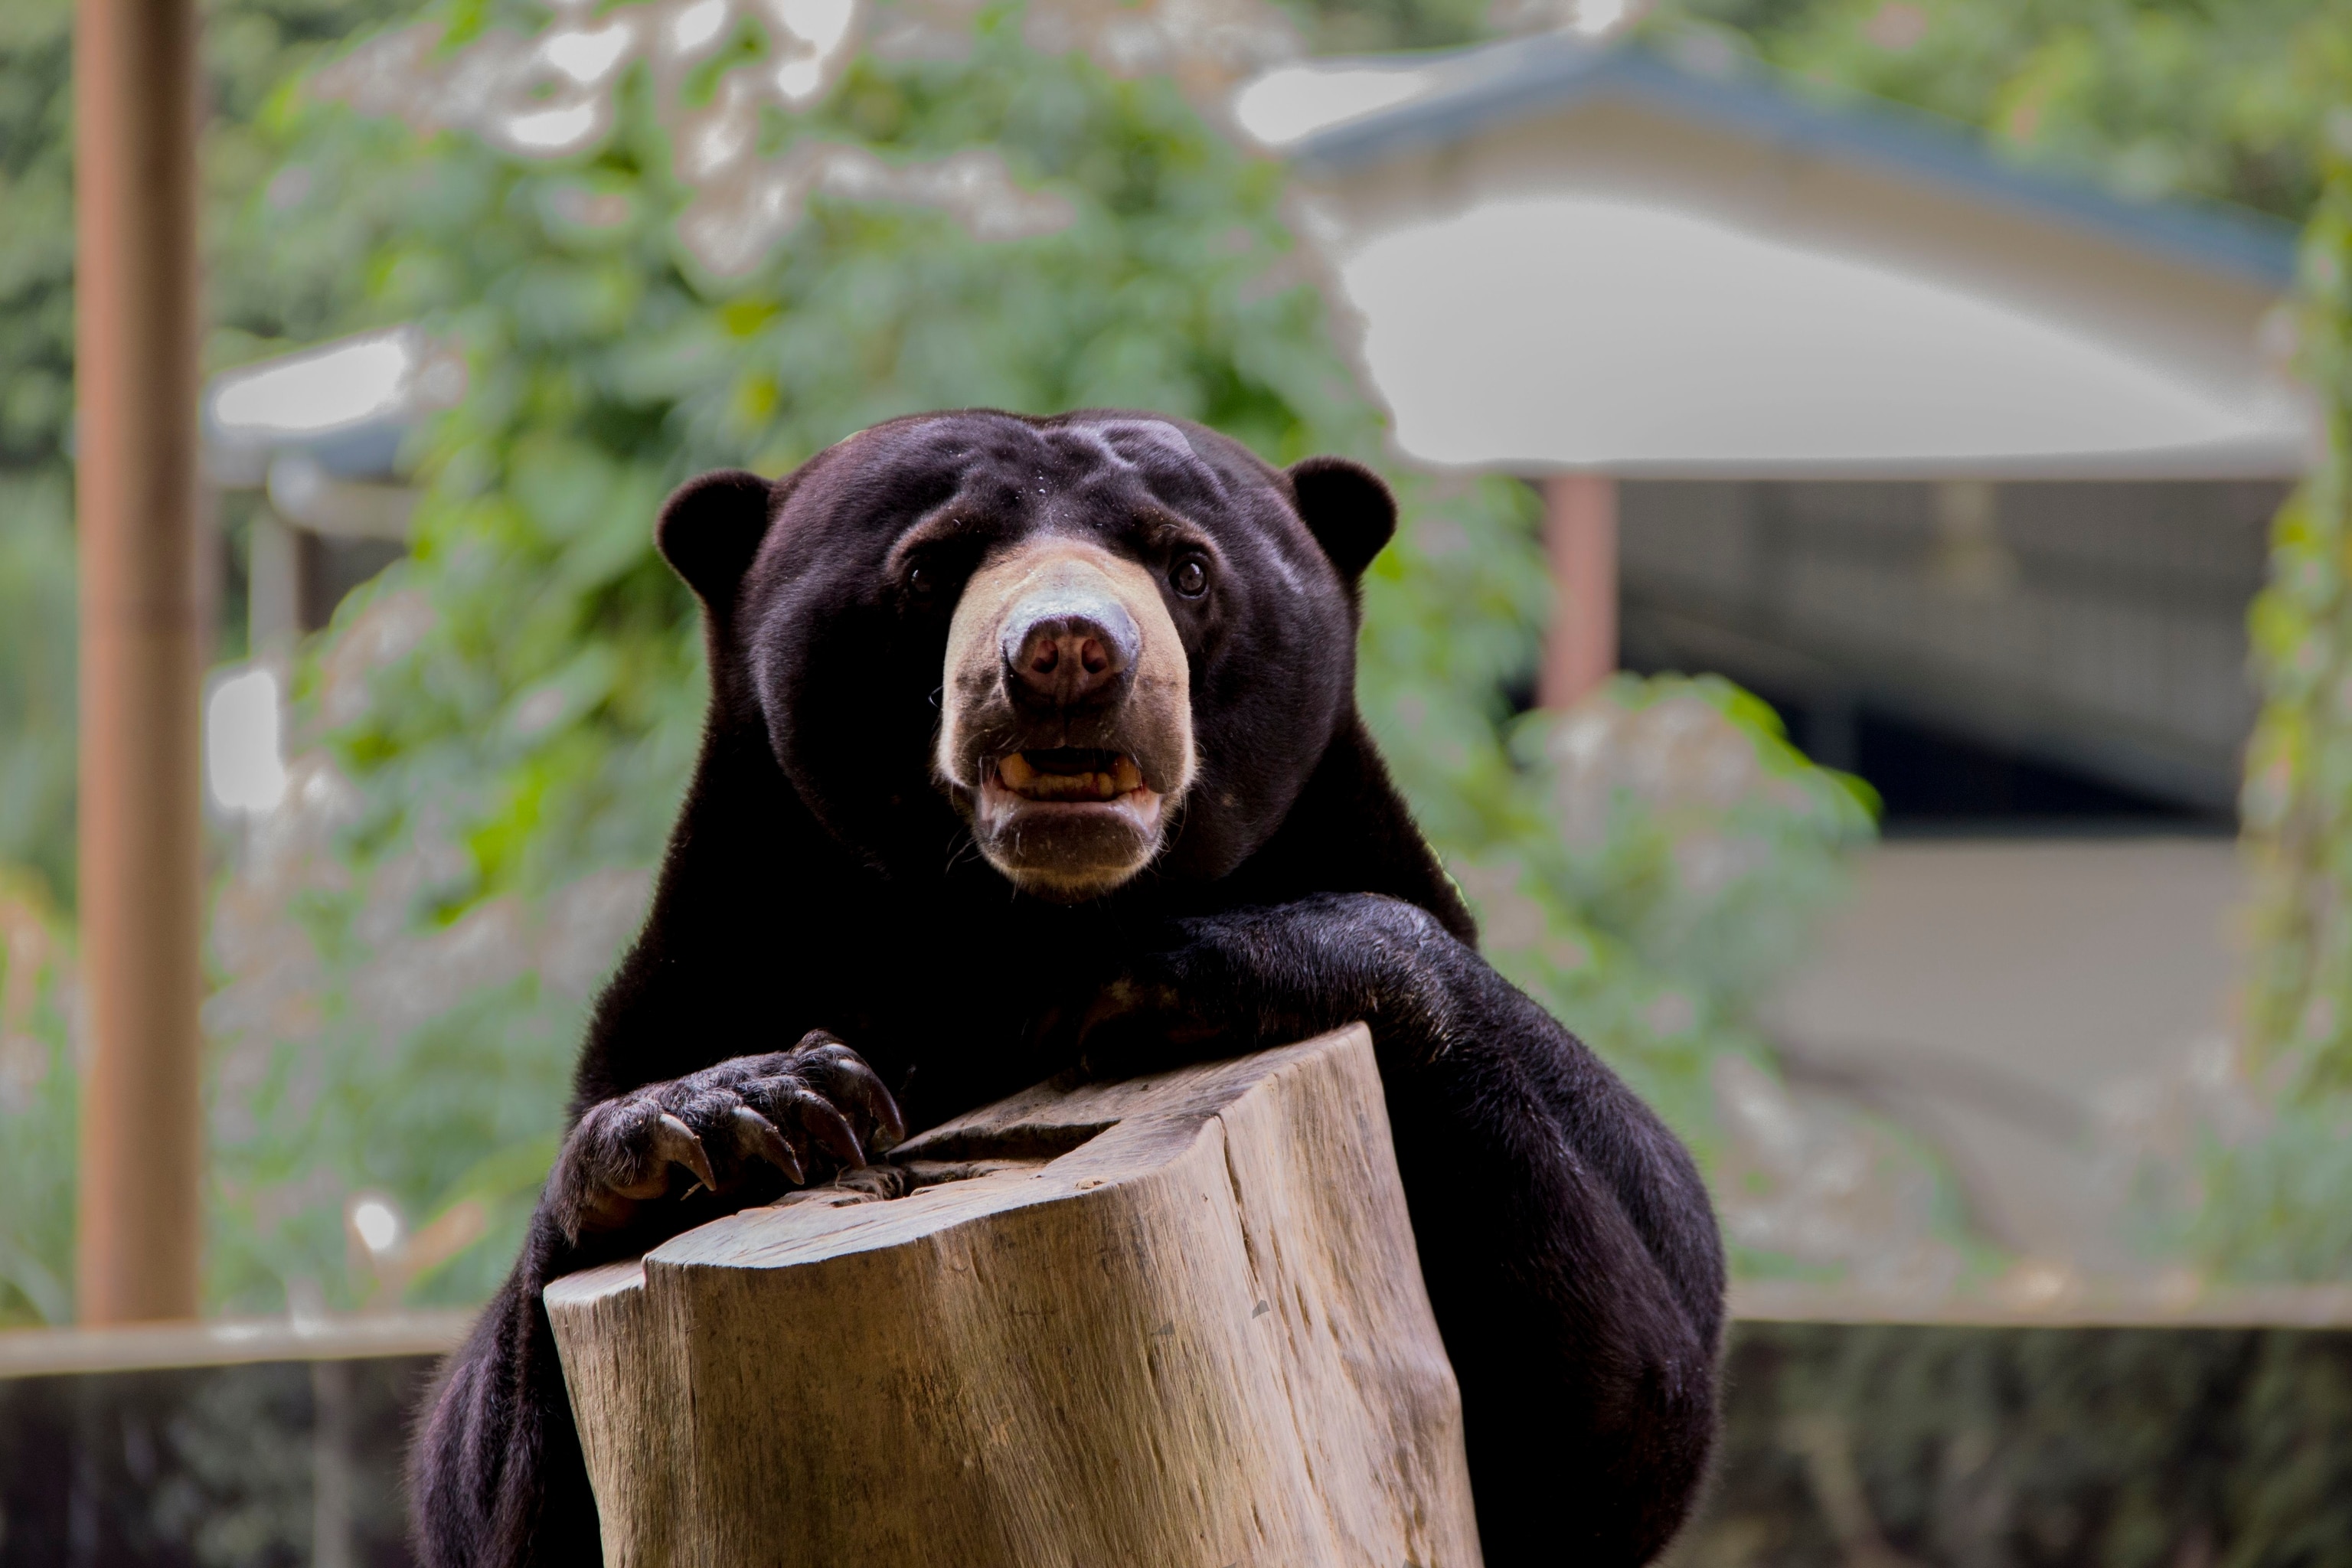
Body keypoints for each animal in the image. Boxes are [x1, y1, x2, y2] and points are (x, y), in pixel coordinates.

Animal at [409, 410, 1726, 1568]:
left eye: (1186, 567)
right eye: (930, 568)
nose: (1066, 654)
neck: (1009, 934)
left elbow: (1634, 1370)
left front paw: (1187, 969)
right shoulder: (717, 965)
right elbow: (475, 1491)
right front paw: (733, 1116)